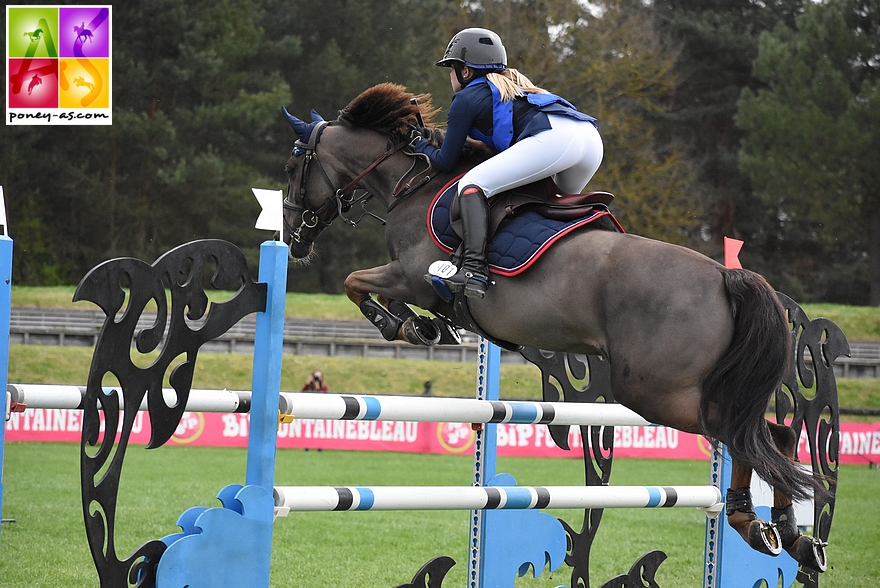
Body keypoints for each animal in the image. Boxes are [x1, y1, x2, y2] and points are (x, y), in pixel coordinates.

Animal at [284, 82, 832, 568]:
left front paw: (403, 326)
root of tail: (725, 274)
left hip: (657, 391)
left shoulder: (414, 277)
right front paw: (426, 328)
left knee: (746, 437)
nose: (291, 237)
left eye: (293, 167)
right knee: (774, 437)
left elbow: (357, 284)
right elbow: (371, 289)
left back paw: (751, 523)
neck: (413, 188)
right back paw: (788, 534)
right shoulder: (412, 282)